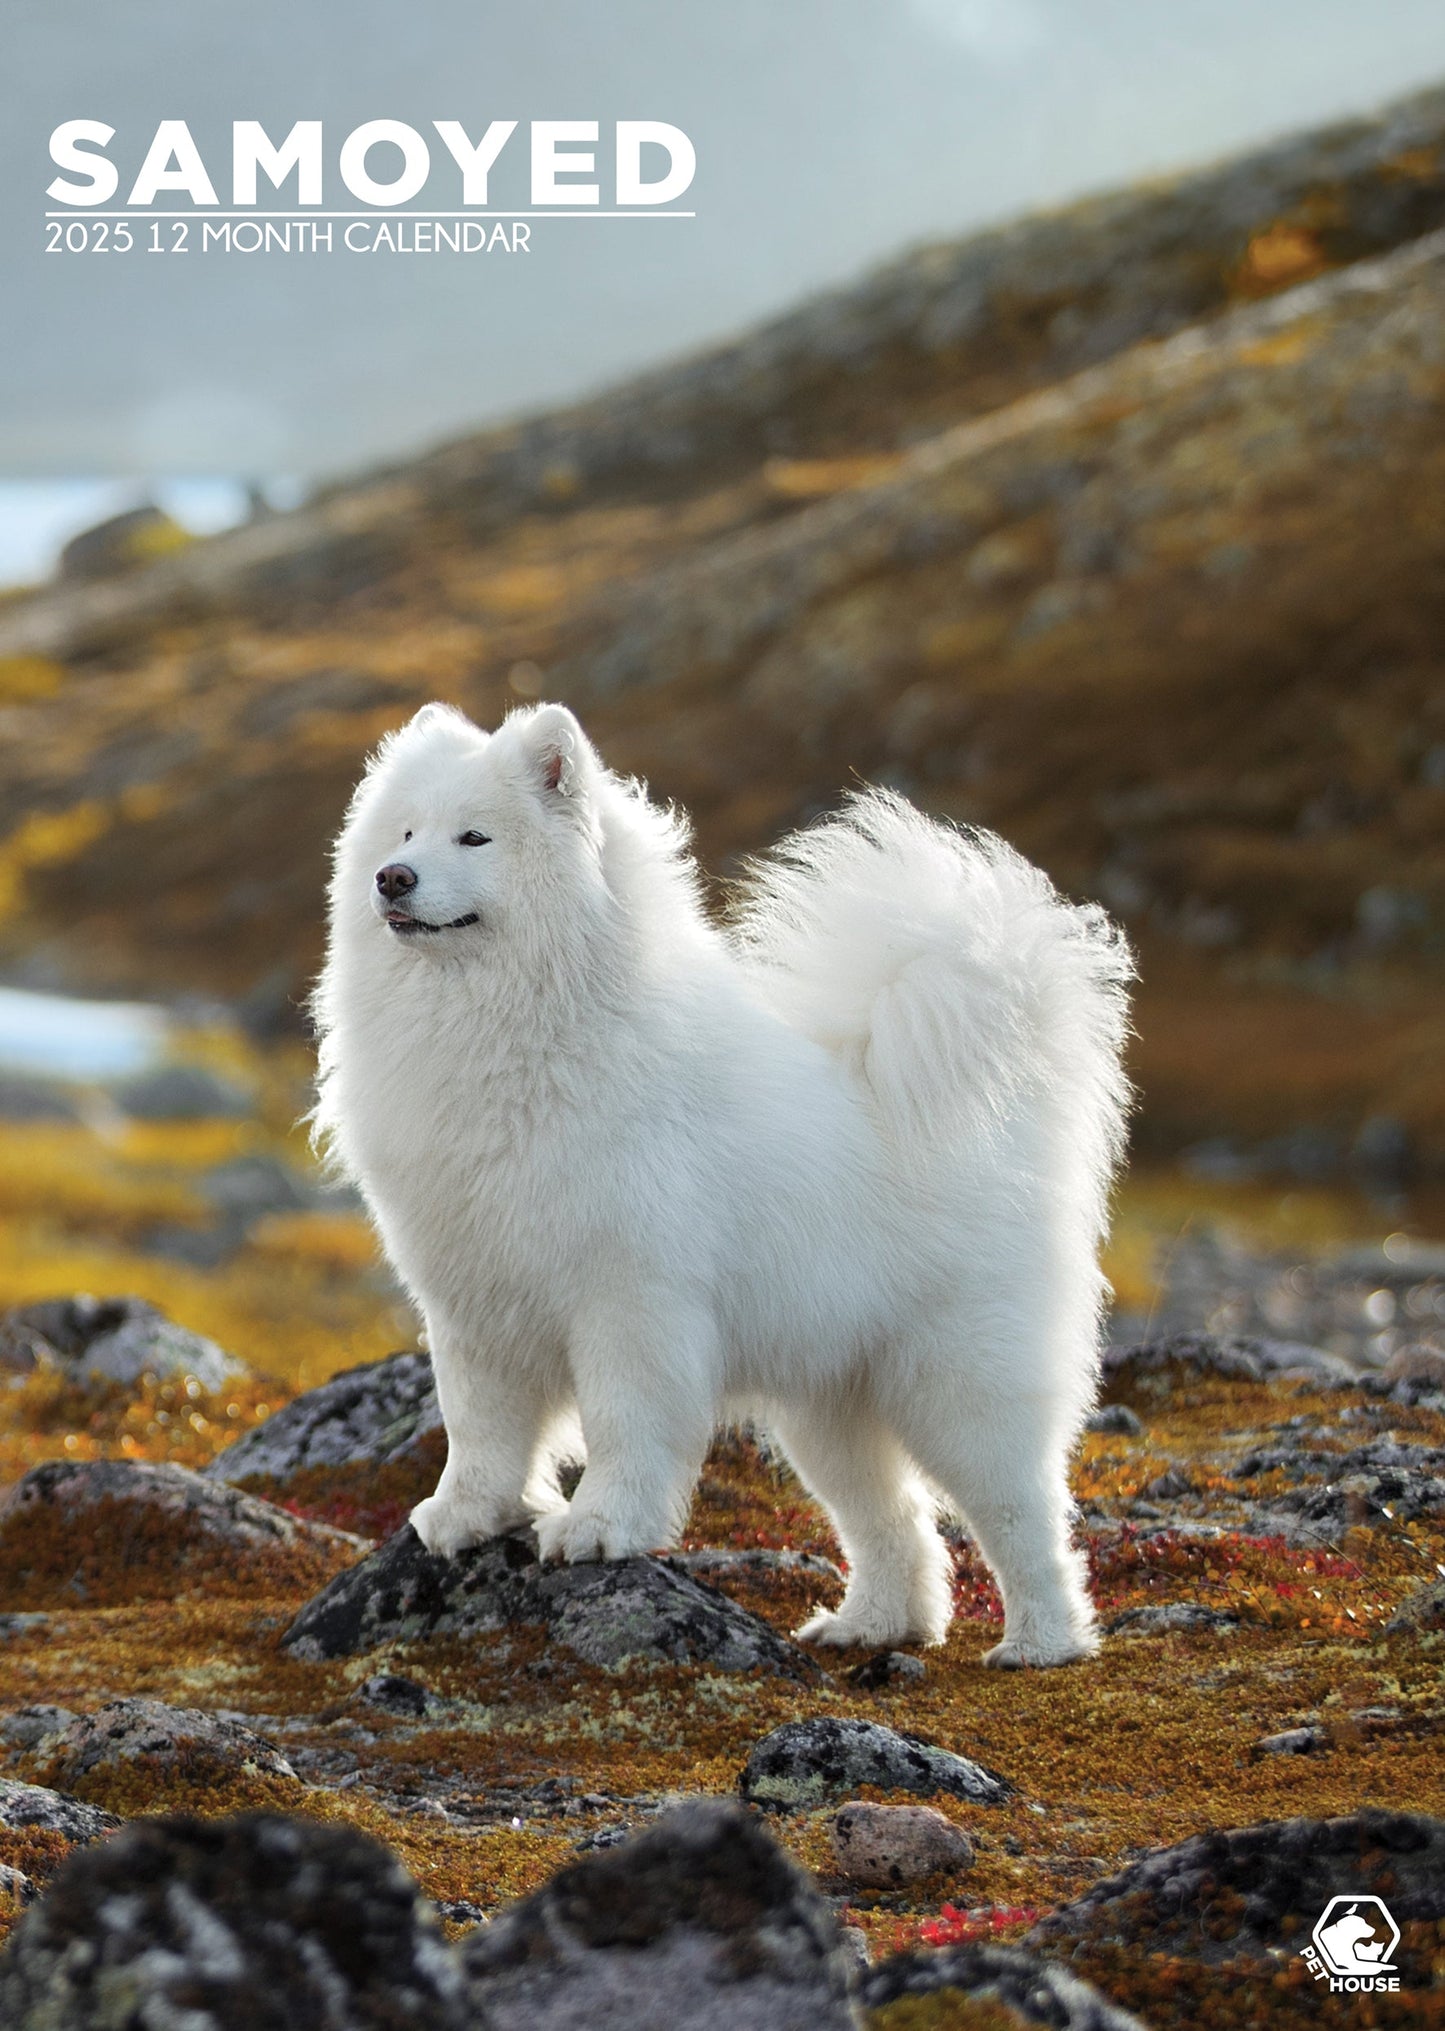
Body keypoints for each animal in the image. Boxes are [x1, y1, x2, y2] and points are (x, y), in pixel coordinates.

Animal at [310, 698, 1138, 1665]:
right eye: (404, 832)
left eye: (473, 837)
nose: (392, 878)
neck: (514, 1028)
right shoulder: (474, 1298)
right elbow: (480, 1424)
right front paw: (467, 1515)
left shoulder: (630, 1298)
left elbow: (622, 1424)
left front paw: (599, 1528)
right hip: (829, 1404)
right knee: (892, 1520)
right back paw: (870, 1624)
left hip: (957, 1383)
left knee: (1022, 1513)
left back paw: (1043, 1641)